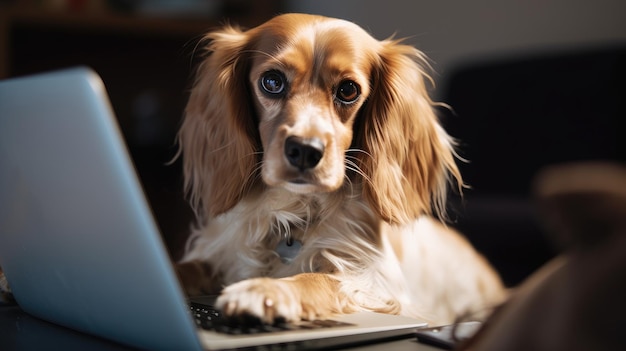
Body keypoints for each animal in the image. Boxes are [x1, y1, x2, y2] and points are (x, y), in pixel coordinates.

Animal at [173, 13, 504, 328]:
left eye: (348, 90)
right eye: (272, 81)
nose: (305, 150)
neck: (295, 212)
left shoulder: (377, 283)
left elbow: (318, 280)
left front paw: (265, 290)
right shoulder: (220, 254)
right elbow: (188, 267)